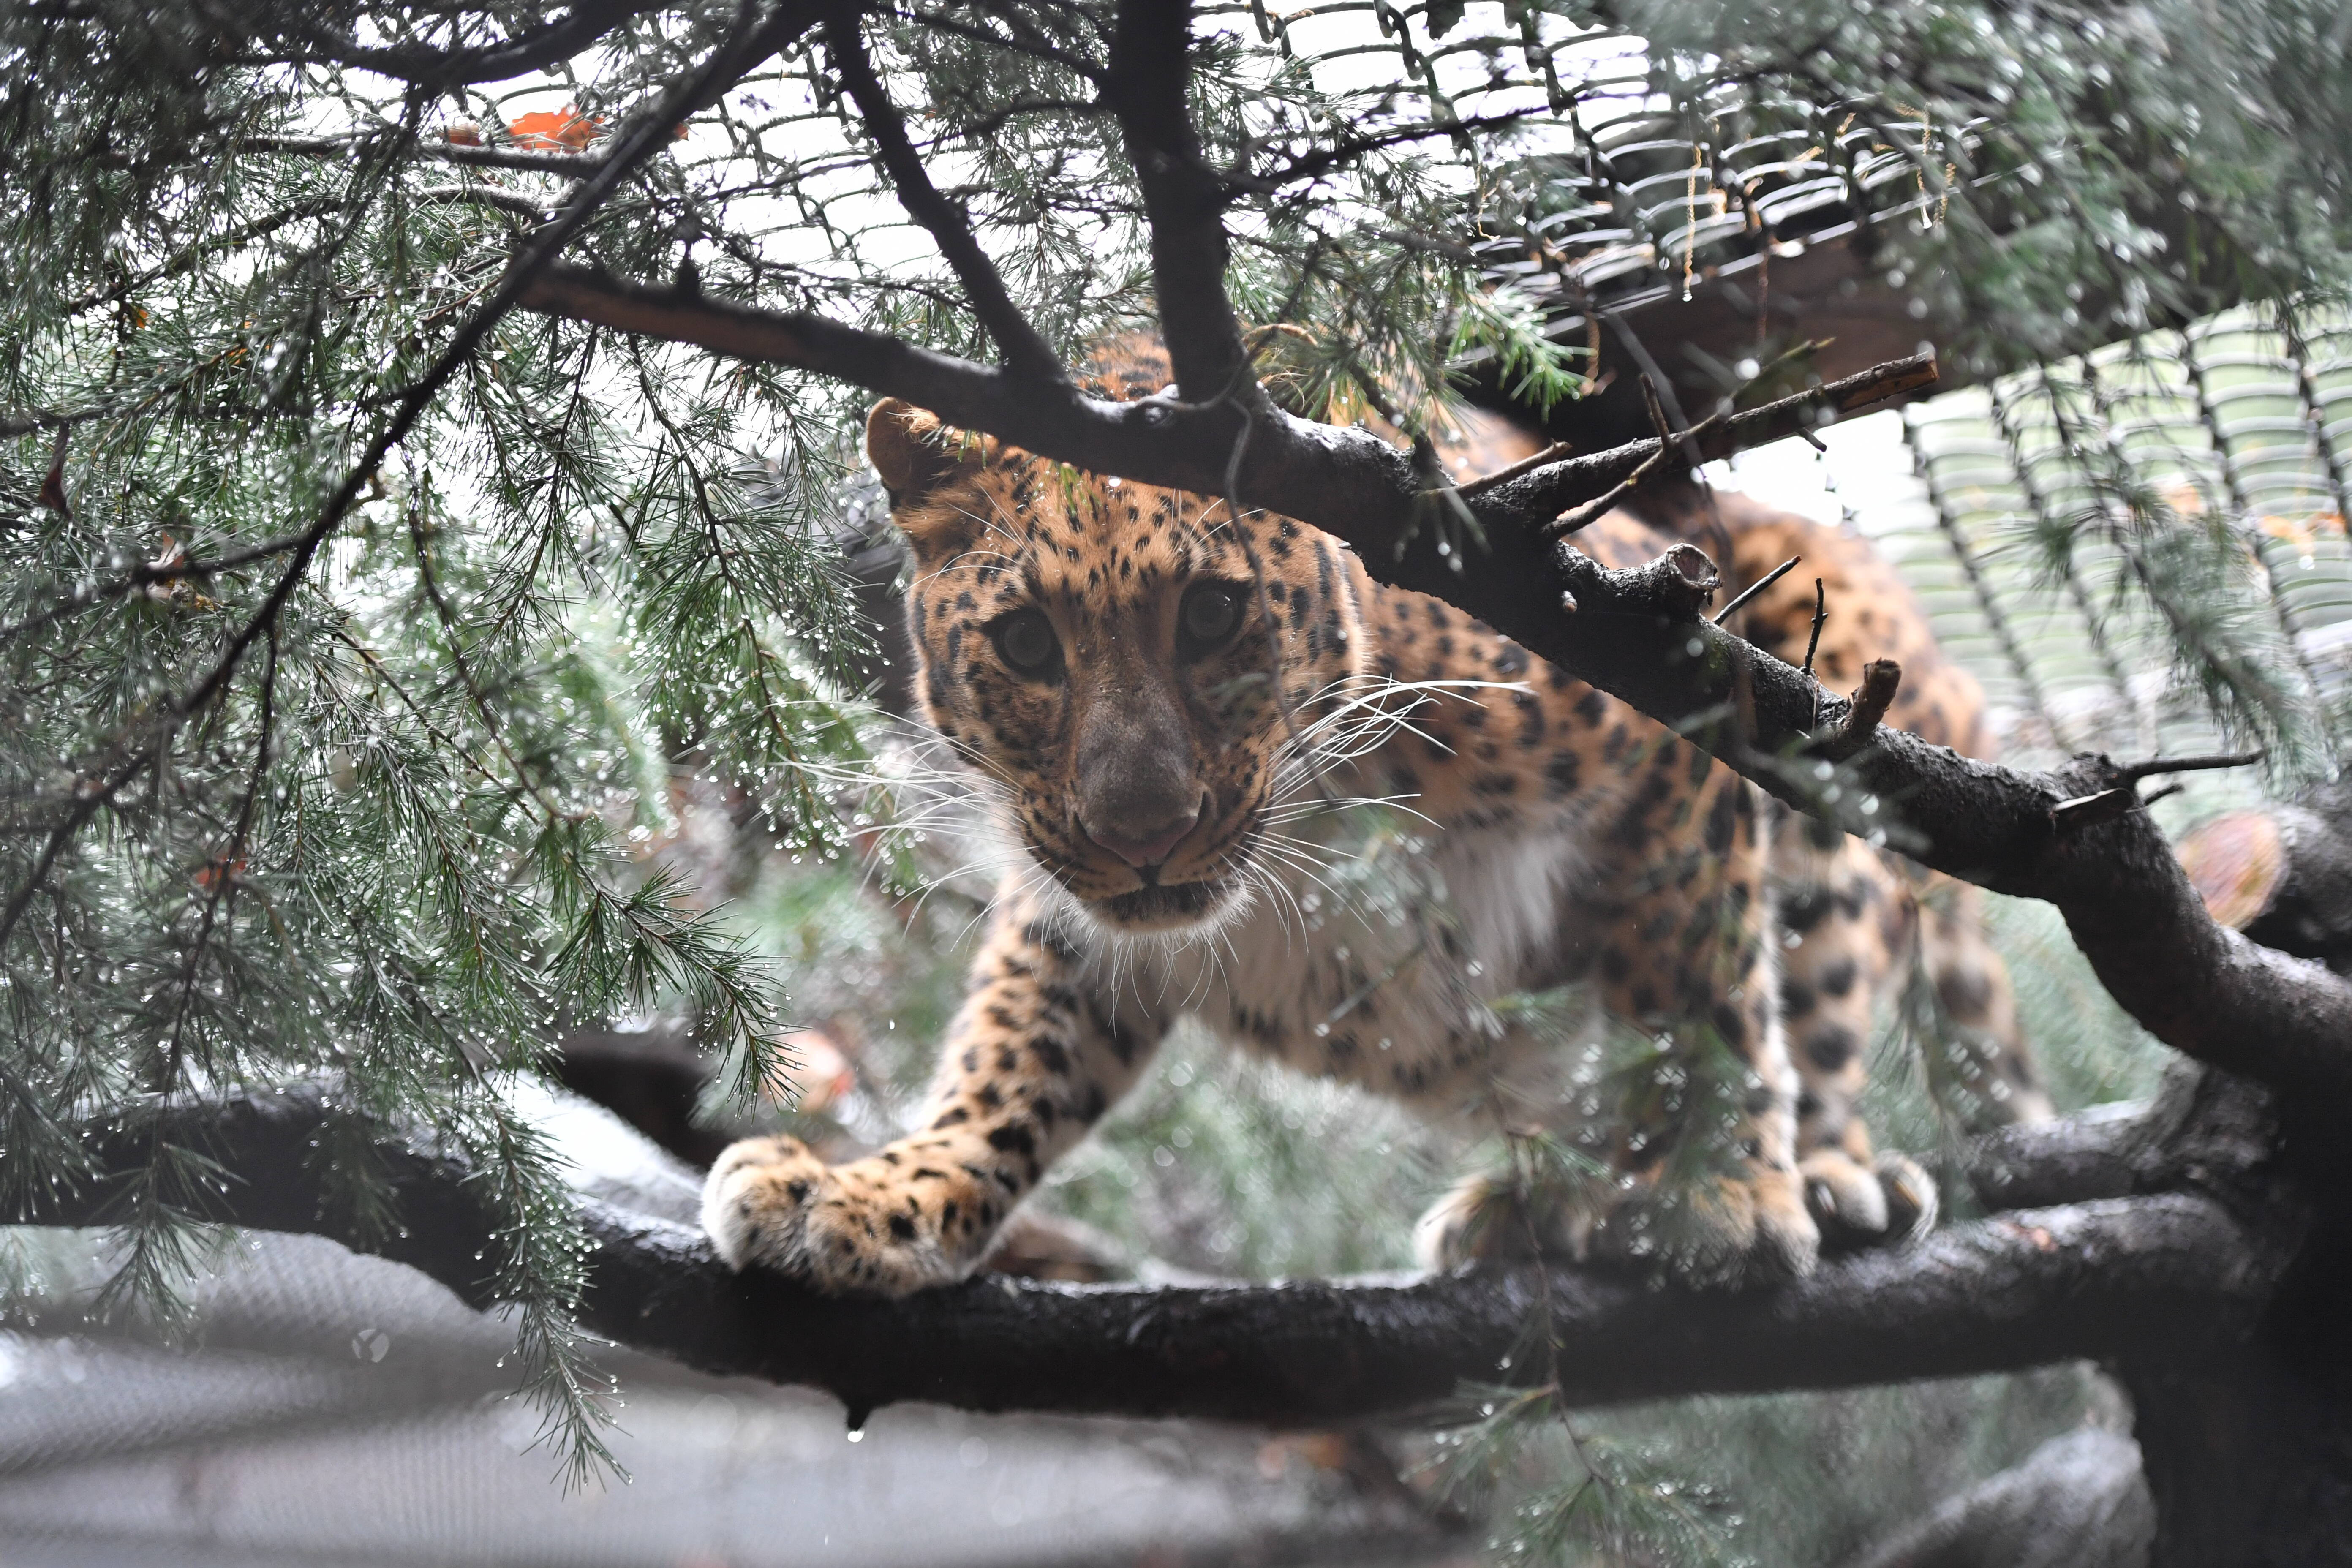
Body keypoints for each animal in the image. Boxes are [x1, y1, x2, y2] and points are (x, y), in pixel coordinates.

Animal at [691, 350, 2042, 1298]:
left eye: (1214, 615)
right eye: (1026, 644)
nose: (1143, 835)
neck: (1312, 823)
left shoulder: (1670, 700)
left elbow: (1693, 997)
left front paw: (1716, 1194)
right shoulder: (1071, 906)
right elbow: (1007, 1065)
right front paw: (877, 1197)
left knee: (1811, 1002)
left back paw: (1827, 1177)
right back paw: (1532, 1207)